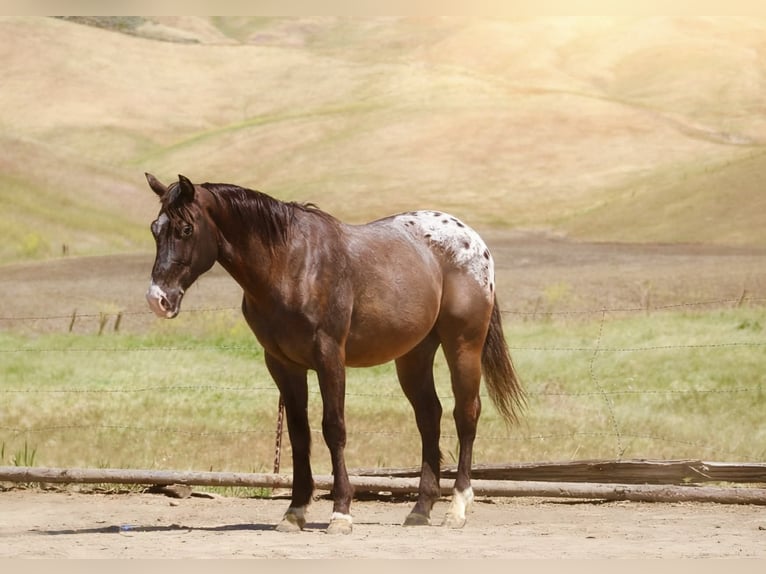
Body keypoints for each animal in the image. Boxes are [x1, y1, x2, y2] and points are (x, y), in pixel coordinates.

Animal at [145, 173, 524, 534]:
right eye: (154, 229)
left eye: (186, 228)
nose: (157, 299)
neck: (290, 264)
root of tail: (472, 239)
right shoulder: (282, 365)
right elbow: (299, 433)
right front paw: (294, 512)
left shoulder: (329, 357)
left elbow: (334, 428)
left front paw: (341, 513)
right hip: (413, 355)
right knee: (429, 416)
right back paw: (420, 510)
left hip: (463, 345)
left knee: (466, 415)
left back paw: (457, 508)